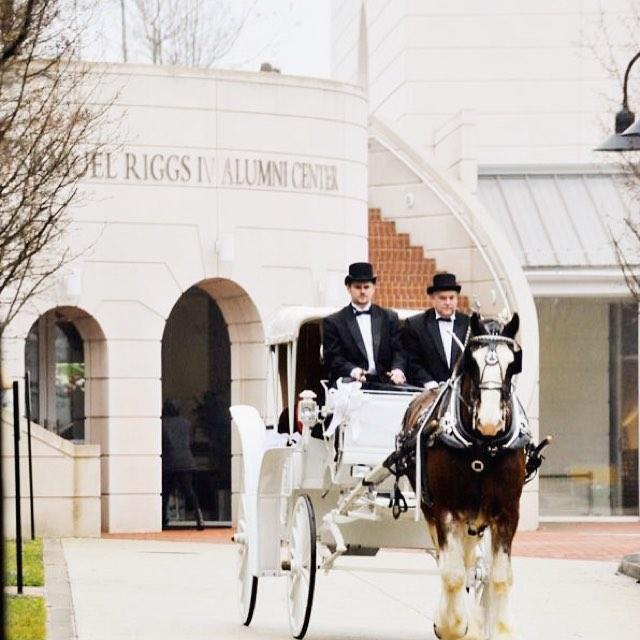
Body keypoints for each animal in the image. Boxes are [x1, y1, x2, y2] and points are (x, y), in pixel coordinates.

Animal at [402, 314, 528, 640]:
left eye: (514, 364)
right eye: (471, 362)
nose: (489, 421)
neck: (482, 448)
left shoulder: (507, 512)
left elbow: (499, 576)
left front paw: (498, 628)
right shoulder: (445, 510)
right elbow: (453, 573)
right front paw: (454, 625)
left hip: (474, 519)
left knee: (472, 563)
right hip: (435, 511)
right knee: (449, 562)